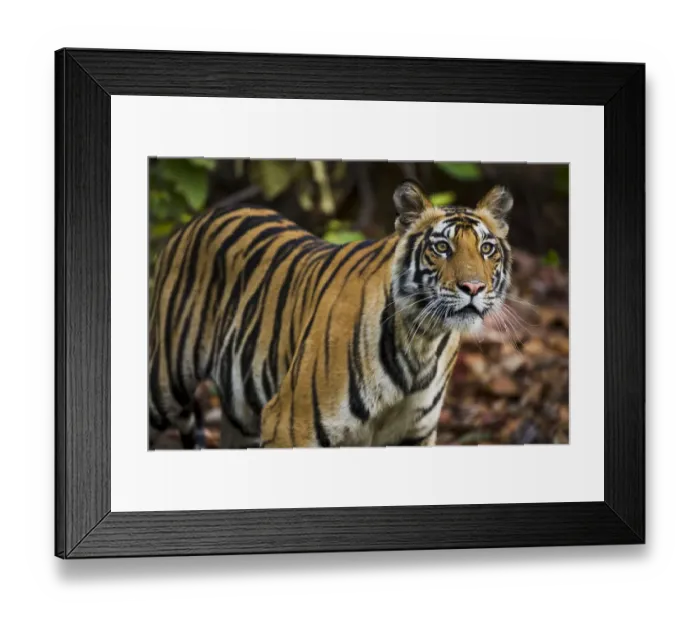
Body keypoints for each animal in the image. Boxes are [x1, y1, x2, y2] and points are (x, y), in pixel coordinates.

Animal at [148, 180, 514, 449]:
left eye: (486, 249)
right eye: (441, 248)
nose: (473, 287)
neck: (422, 340)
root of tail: (197, 219)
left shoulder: (415, 433)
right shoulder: (289, 425)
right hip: (164, 387)